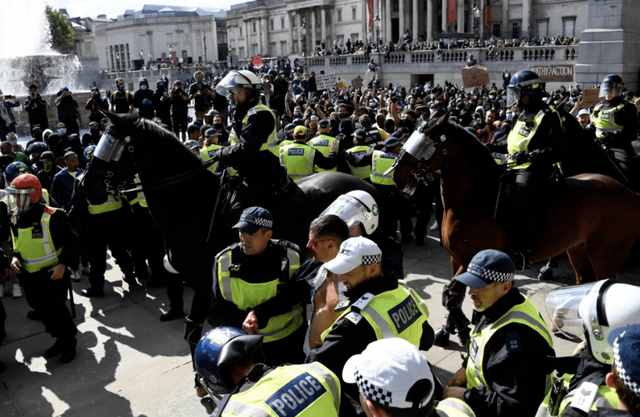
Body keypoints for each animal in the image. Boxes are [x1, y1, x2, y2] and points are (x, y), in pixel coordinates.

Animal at [396, 114, 640, 282]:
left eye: (426, 143)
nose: (397, 172)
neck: (477, 200)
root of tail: (630, 193)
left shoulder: (470, 260)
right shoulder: (455, 259)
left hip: (604, 256)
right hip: (578, 249)